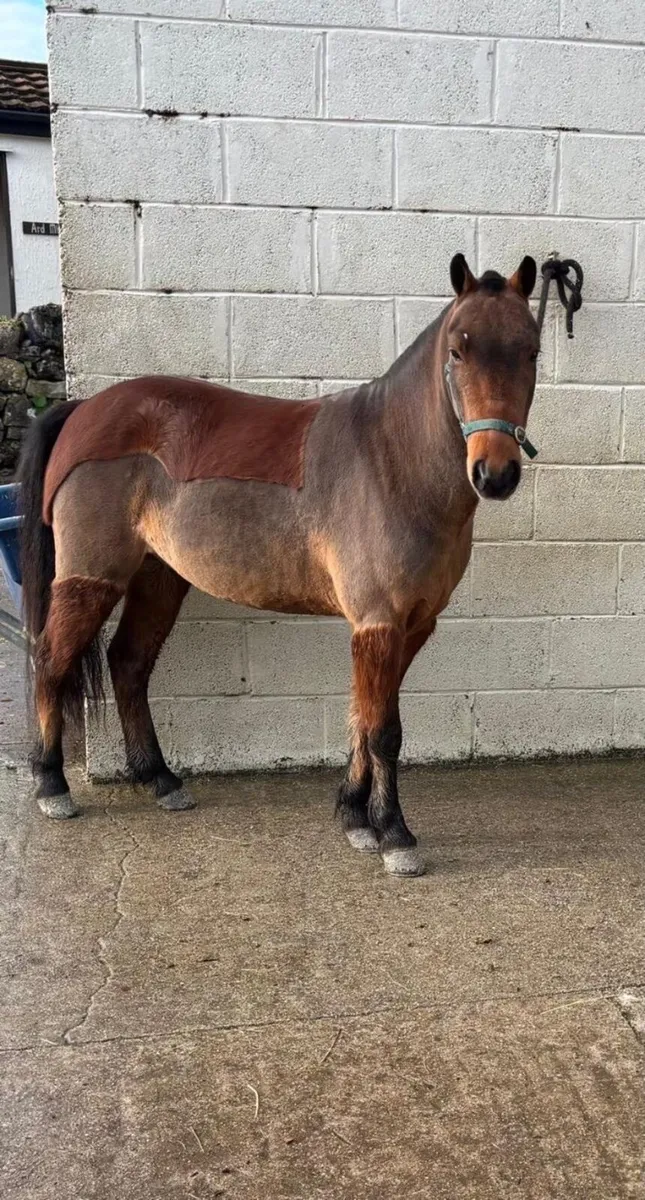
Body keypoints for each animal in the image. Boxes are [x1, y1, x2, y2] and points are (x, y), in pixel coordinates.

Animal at [18, 253, 540, 876]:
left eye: (532, 350)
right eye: (458, 351)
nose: (495, 474)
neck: (391, 462)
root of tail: (83, 409)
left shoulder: (410, 627)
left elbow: (362, 720)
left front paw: (354, 817)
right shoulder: (379, 624)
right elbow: (383, 731)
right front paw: (394, 835)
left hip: (159, 579)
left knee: (128, 663)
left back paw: (161, 780)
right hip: (91, 580)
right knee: (52, 660)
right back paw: (52, 785)